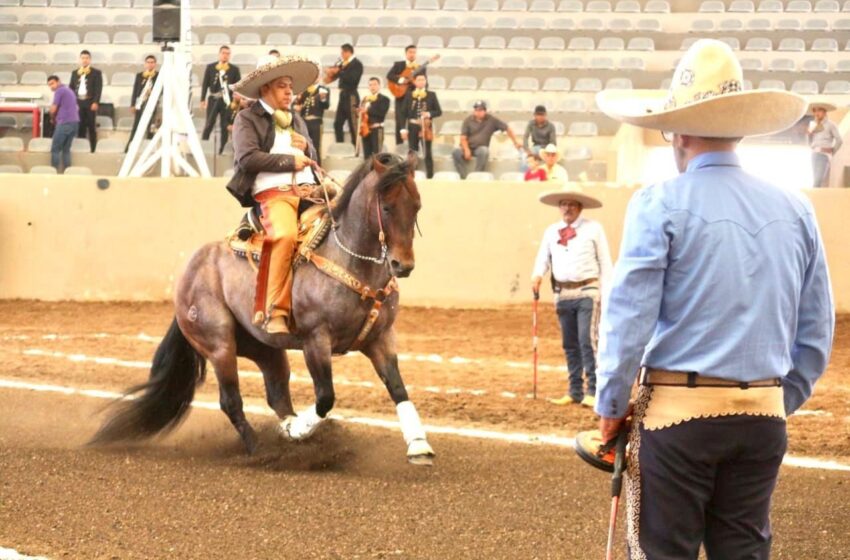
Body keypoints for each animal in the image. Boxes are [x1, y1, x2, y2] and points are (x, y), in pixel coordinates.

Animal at [92, 152, 434, 464]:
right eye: (387, 208)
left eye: (417, 206)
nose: (402, 265)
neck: (348, 259)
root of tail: (190, 270)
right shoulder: (316, 340)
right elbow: (325, 397)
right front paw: (297, 431)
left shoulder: (380, 338)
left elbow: (398, 388)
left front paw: (419, 446)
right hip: (219, 344)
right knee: (231, 401)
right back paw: (263, 448)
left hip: (266, 349)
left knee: (278, 395)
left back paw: (291, 432)